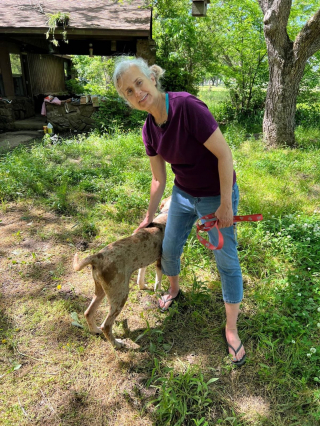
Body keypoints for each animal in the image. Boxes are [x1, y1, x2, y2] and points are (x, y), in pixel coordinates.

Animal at [73, 198, 171, 348]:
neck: (164, 216)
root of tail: (97, 256)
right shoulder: (160, 262)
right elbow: (158, 283)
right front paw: (160, 294)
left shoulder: (143, 261)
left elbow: (141, 276)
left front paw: (143, 286)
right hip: (120, 296)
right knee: (107, 325)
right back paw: (117, 344)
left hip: (101, 291)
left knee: (88, 313)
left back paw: (95, 330)